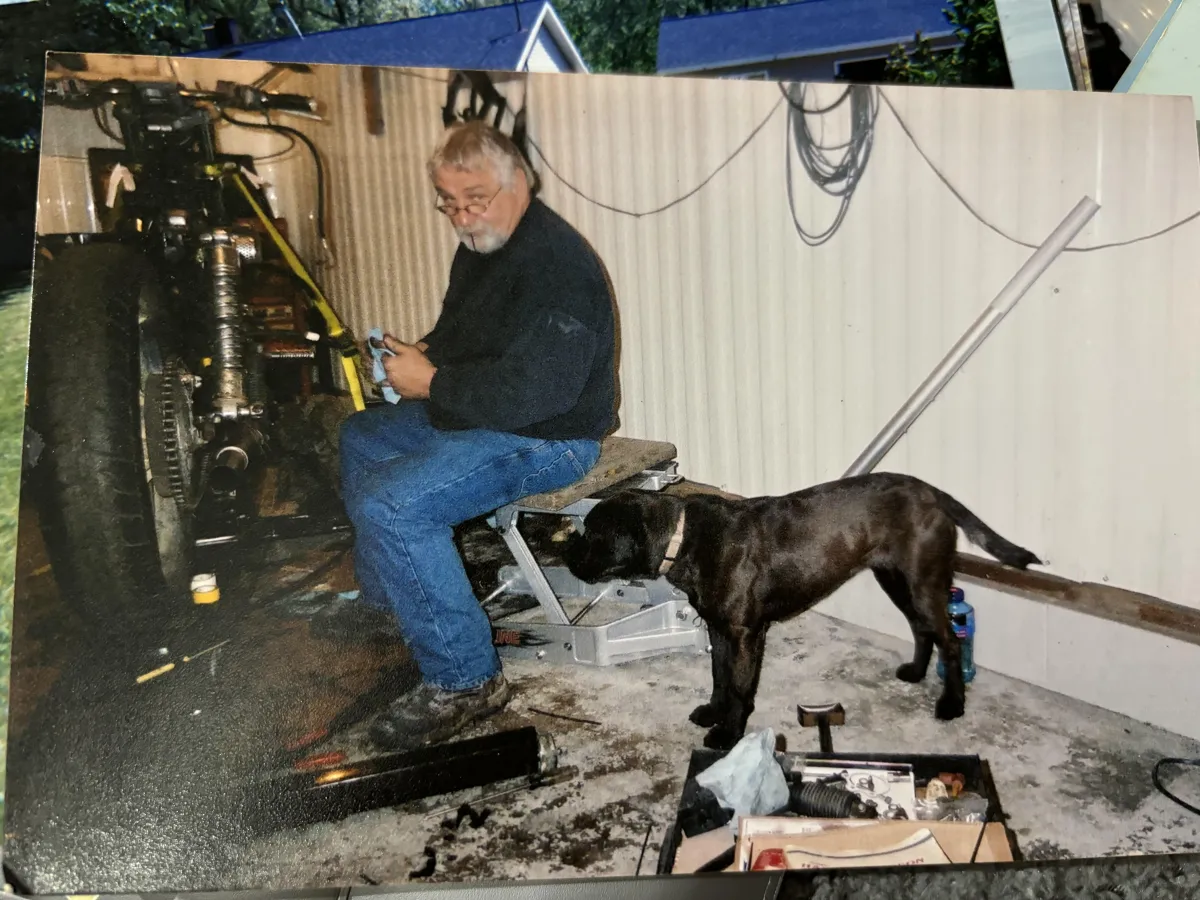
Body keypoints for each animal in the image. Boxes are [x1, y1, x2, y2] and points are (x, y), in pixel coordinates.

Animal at [561, 472, 1041, 753]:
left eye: (594, 533)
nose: (564, 554)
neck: (684, 537)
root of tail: (932, 492)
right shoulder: (719, 630)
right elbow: (719, 679)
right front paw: (713, 712)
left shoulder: (744, 634)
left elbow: (739, 690)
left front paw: (728, 734)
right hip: (895, 580)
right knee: (922, 629)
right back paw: (916, 673)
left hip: (923, 583)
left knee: (950, 641)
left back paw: (952, 703)